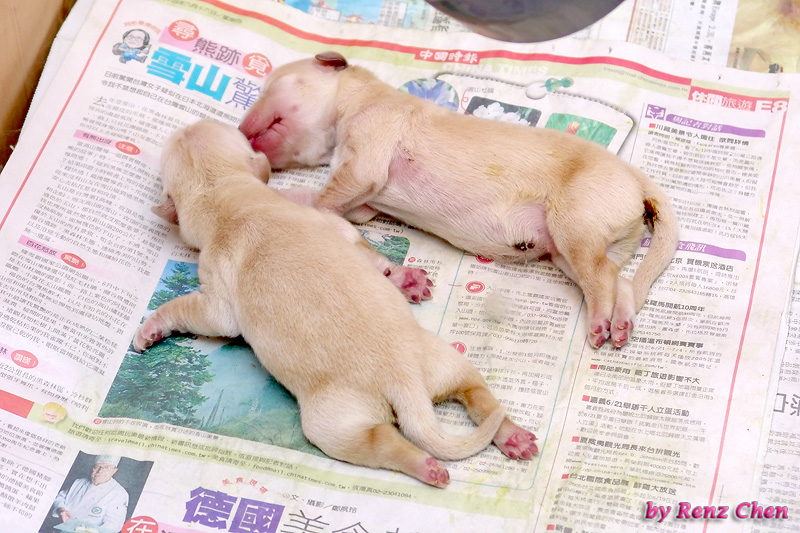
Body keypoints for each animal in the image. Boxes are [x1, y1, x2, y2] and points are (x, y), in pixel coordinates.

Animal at [133, 119, 537, 487]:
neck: (226, 197)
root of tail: (403, 380)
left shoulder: (217, 288)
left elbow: (204, 316)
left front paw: (150, 328)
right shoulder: (334, 225)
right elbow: (365, 250)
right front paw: (403, 278)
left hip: (333, 420)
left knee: (379, 442)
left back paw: (426, 466)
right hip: (441, 360)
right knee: (474, 393)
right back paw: (511, 436)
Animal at [238, 51, 680, 349]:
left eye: (269, 86)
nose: (241, 130)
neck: (354, 101)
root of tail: (636, 178)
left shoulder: (364, 160)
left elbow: (329, 201)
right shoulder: (363, 204)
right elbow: (321, 204)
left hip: (576, 227)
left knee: (603, 280)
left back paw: (601, 324)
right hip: (575, 251)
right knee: (620, 282)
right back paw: (621, 324)